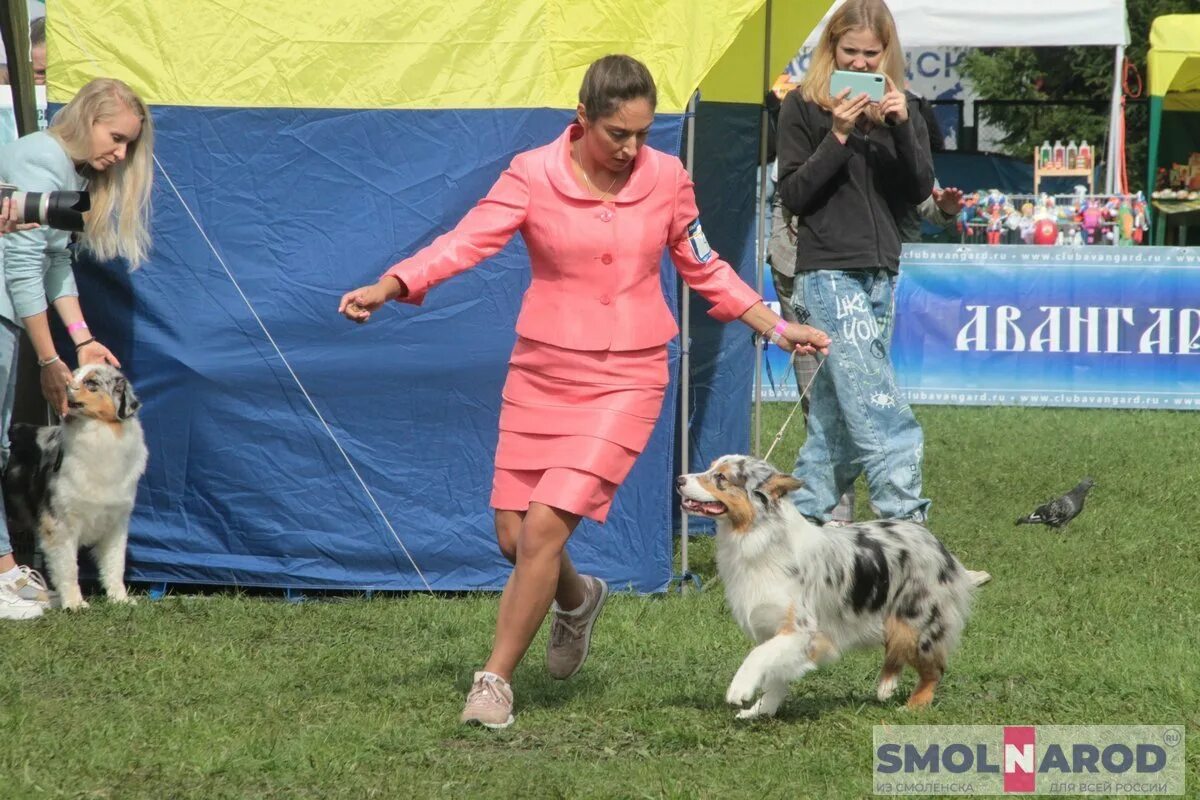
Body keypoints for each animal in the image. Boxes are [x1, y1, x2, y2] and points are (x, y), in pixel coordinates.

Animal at [2, 364, 146, 614]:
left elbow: (115, 564)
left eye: (91, 383)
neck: (99, 435)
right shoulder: (60, 523)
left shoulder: (116, 522)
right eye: (74, 374)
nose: (65, 384)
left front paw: (120, 599)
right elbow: (69, 568)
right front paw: (74, 603)